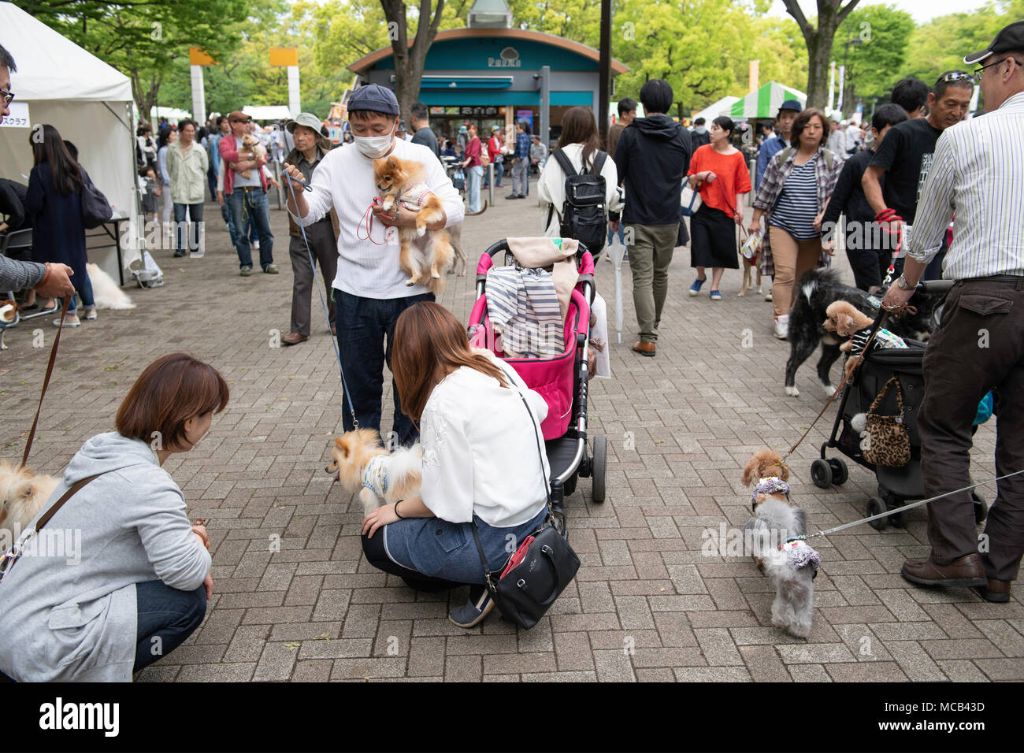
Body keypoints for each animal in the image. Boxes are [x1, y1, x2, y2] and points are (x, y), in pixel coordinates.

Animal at [741, 450, 819, 639]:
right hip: (805, 596)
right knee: (802, 618)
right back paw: (800, 632)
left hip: (783, 592)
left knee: (782, 611)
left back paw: (779, 622)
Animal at [782, 270, 942, 401]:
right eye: (930, 312)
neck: (897, 318)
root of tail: (815, 288)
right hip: (806, 340)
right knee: (791, 363)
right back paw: (790, 388)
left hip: (833, 346)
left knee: (822, 367)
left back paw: (831, 391)